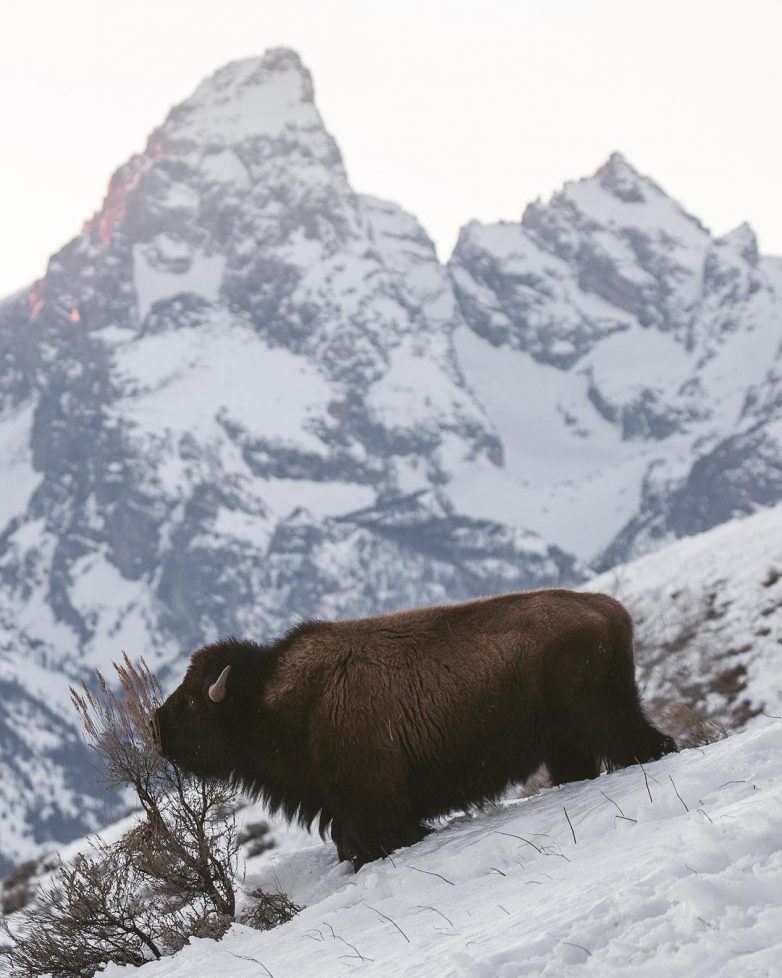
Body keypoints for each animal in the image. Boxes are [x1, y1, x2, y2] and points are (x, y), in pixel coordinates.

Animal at [155, 588, 680, 868]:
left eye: (194, 701)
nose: (158, 727)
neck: (274, 696)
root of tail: (608, 608)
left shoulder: (374, 808)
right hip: (564, 744)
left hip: (602, 717)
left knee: (648, 743)